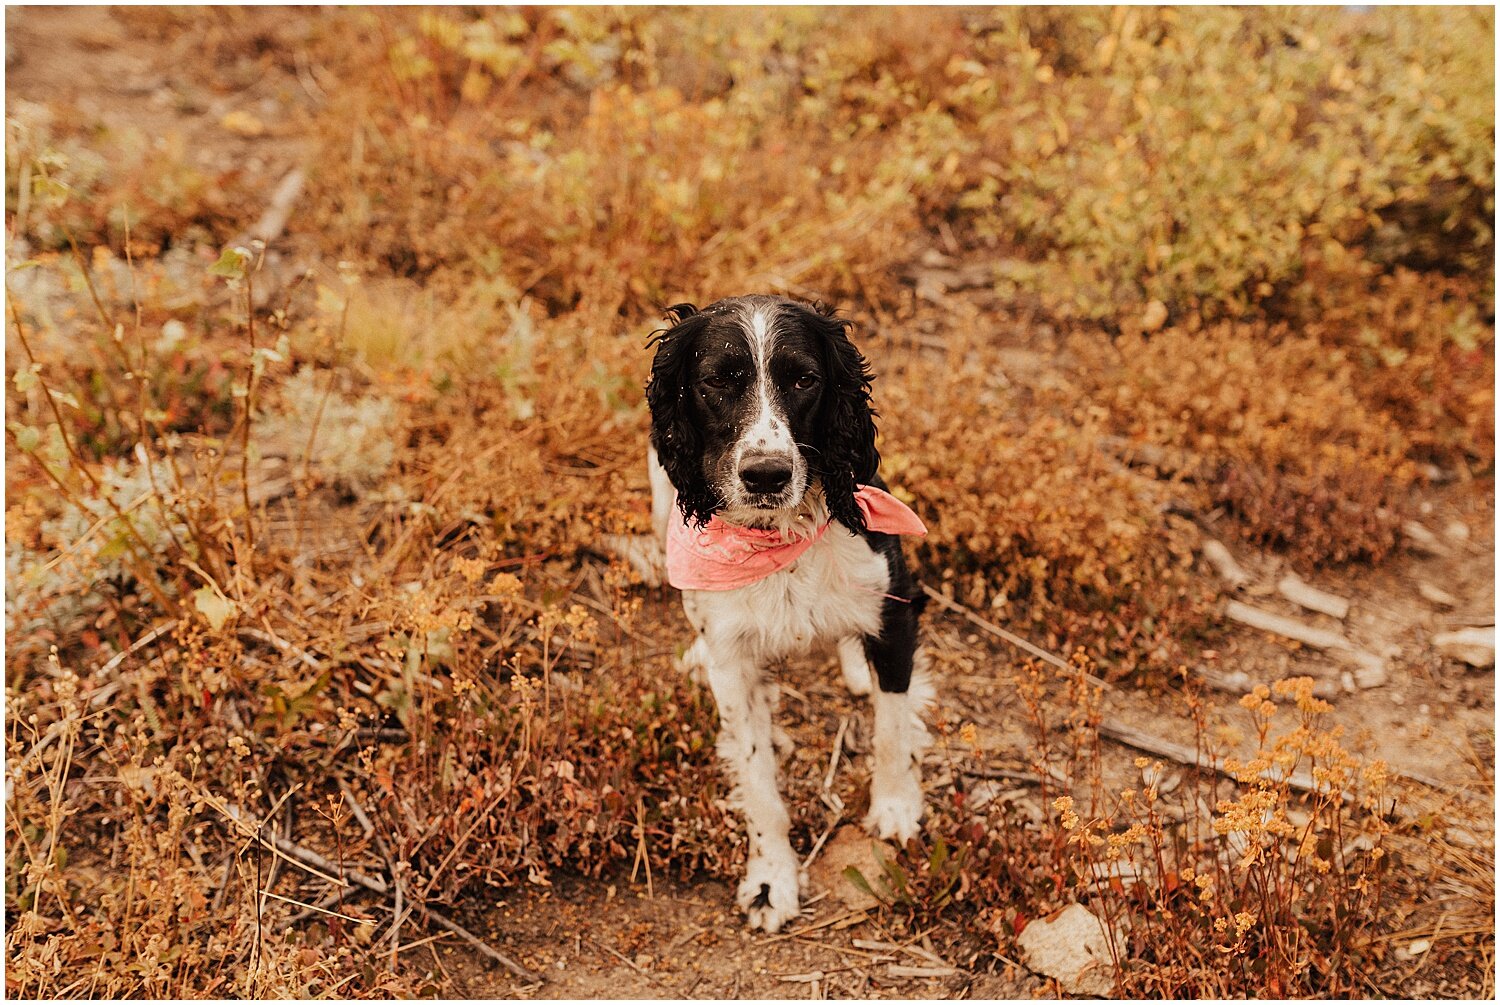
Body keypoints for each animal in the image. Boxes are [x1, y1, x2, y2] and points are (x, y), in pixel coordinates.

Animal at [639, 294, 930, 936]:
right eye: (716, 383)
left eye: (804, 380)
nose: (767, 474)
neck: (779, 539)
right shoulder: (733, 666)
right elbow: (759, 783)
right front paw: (771, 879)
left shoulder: (895, 612)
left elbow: (892, 729)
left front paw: (896, 807)